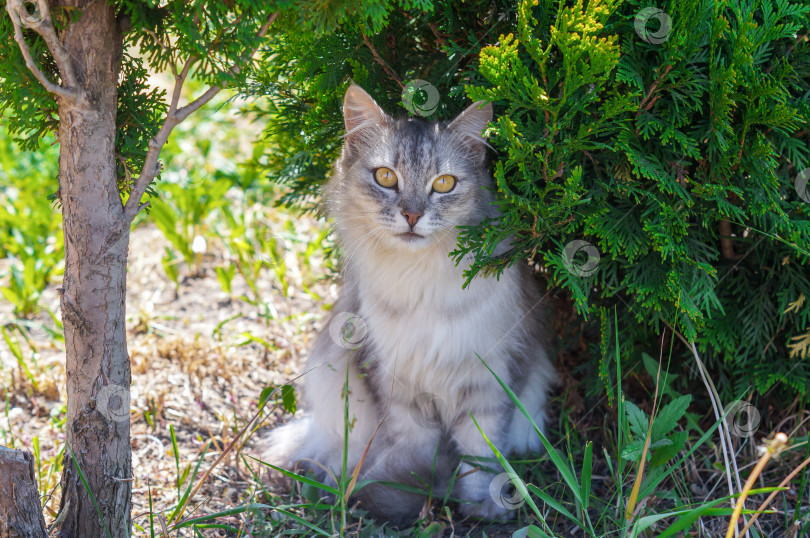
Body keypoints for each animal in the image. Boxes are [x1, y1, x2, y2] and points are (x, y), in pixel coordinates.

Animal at [260, 84, 556, 524]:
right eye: (386, 177)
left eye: (444, 184)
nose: (412, 215)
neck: (419, 280)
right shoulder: (394, 378)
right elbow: (414, 447)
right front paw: (404, 487)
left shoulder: (491, 374)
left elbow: (483, 452)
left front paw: (483, 506)